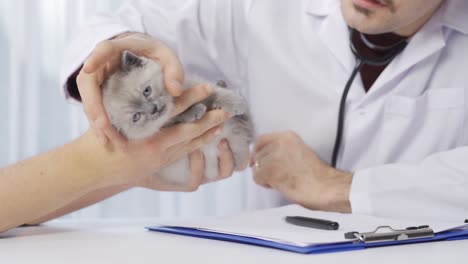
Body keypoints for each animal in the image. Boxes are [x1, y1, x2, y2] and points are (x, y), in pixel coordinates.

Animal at [102, 50, 254, 185]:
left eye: (147, 91)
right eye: (136, 116)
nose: (153, 109)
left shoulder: (197, 85)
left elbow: (216, 93)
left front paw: (235, 102)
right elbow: (179, 118)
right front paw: (194, 111)